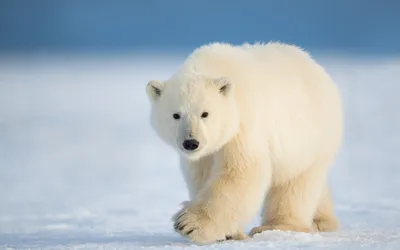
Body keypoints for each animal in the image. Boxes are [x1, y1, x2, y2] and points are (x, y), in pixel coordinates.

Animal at [145, 41, 342, 244]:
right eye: (176, 115)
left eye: (205, 113)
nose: (191, 142)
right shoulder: (204, 154)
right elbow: (202, 175)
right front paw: (230, 233)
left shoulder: (243, 123)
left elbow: (241, 171)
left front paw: (189, 224)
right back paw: (322, 220)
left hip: (309, 135)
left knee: (295, 181)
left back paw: (278, 225)